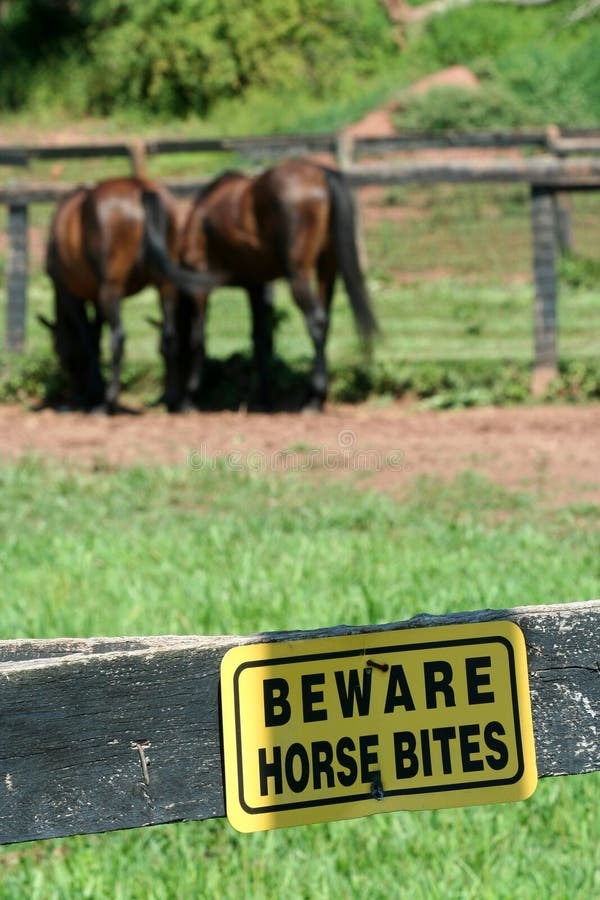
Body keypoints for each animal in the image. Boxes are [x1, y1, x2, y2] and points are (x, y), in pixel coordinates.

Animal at [41, 176, 216, 412]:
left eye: (58, 351)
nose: (73, 395)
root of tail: (140, 188)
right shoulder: (96, 299)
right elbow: (95, 337)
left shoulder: (70, 295)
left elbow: (88, 340)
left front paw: (93, 393)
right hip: (166, 286)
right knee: (173, 336)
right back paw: (174, 398)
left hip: (112, 288)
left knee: (118, 337)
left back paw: (108, 402)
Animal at [174, 159, 378, 411]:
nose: (171, 396)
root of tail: (321, 174)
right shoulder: (256, 285)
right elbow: (261, 338)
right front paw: (263, 398)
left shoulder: (199, 284)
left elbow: (198, 339)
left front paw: (189, 397)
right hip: (327, 270)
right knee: (325, 320)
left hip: (298, 275)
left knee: (316, 321)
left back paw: (314, 398)